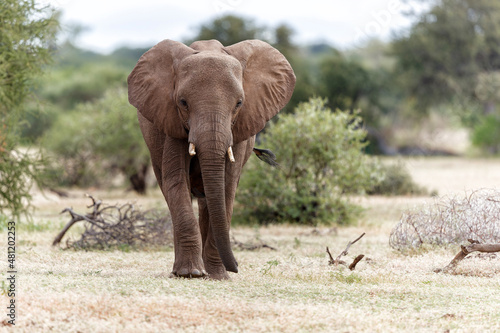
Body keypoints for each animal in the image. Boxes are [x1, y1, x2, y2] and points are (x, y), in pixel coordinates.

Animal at [127, 37, 294, 278]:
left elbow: (226, 187)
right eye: (183, 102)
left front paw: (218, 276)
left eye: (239, 103)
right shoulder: (171, 122)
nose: (236, 268)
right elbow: (176, 182)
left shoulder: (240, 130)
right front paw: (190, 273)